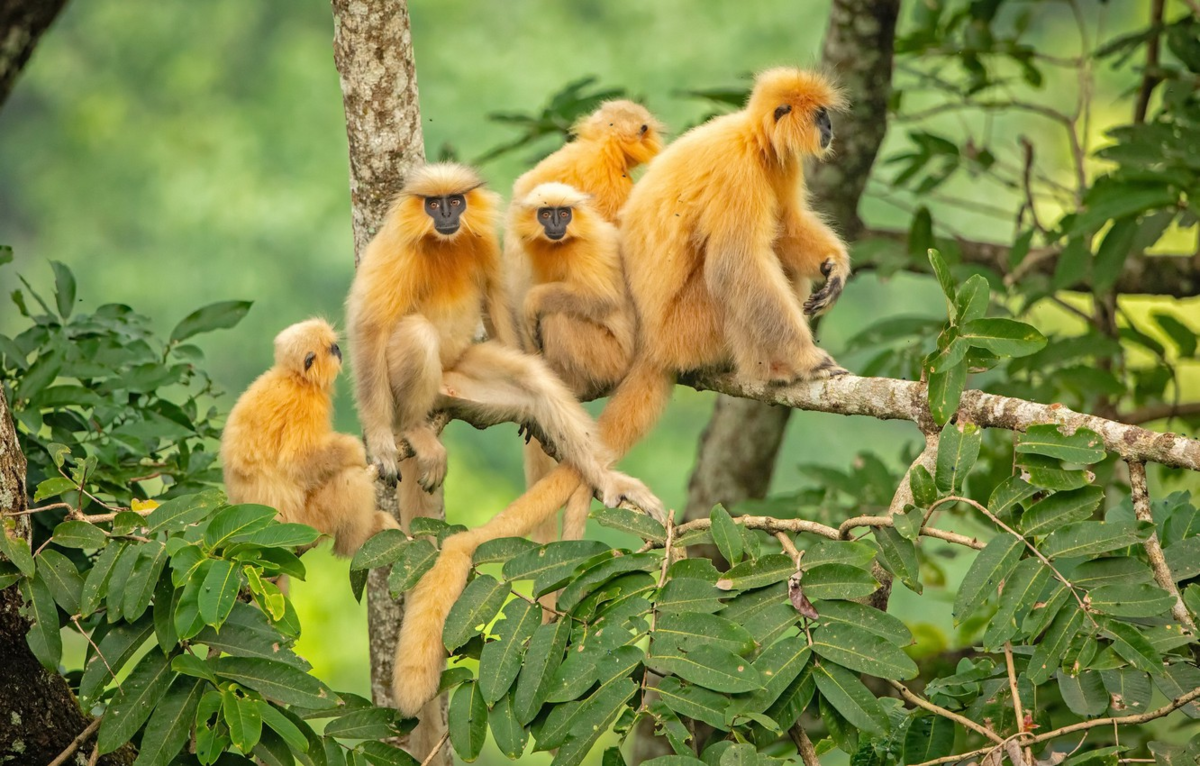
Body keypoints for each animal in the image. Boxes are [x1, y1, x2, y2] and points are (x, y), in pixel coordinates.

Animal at [220, 316, 398, 557]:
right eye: (331, 348)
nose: (338, 349)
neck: (295, 378)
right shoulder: (306, 405)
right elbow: (297, 459)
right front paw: (357, 452)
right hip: (307, 522)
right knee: (350, 479)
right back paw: (356, 541)